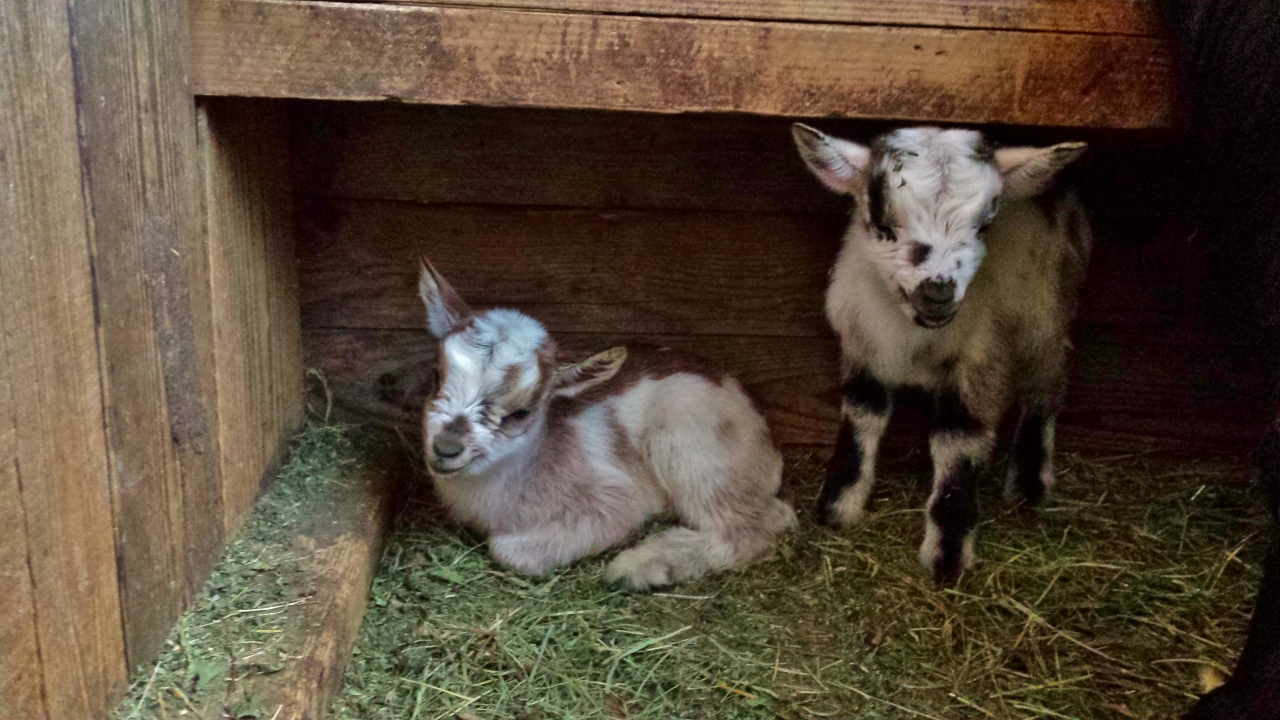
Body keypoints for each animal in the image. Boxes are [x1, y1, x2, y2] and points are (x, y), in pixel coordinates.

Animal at [414, 257, 793, 589]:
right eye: (435, 376)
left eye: (521, 412)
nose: (446, 448)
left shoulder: (614, 501)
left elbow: (506, 549)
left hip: (690, 449)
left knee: (756, 526)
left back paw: (637, 568)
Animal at [793, 126, 1095, 579]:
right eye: (881, 223)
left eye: (985, 224)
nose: (937, 292)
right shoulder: (864, 345)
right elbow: (862, 415)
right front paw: (837, 506)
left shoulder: (983, 357)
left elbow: (959, 440)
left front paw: (947, 554)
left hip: (1048, 309)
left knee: (1045, 387)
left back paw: (1028, 483)